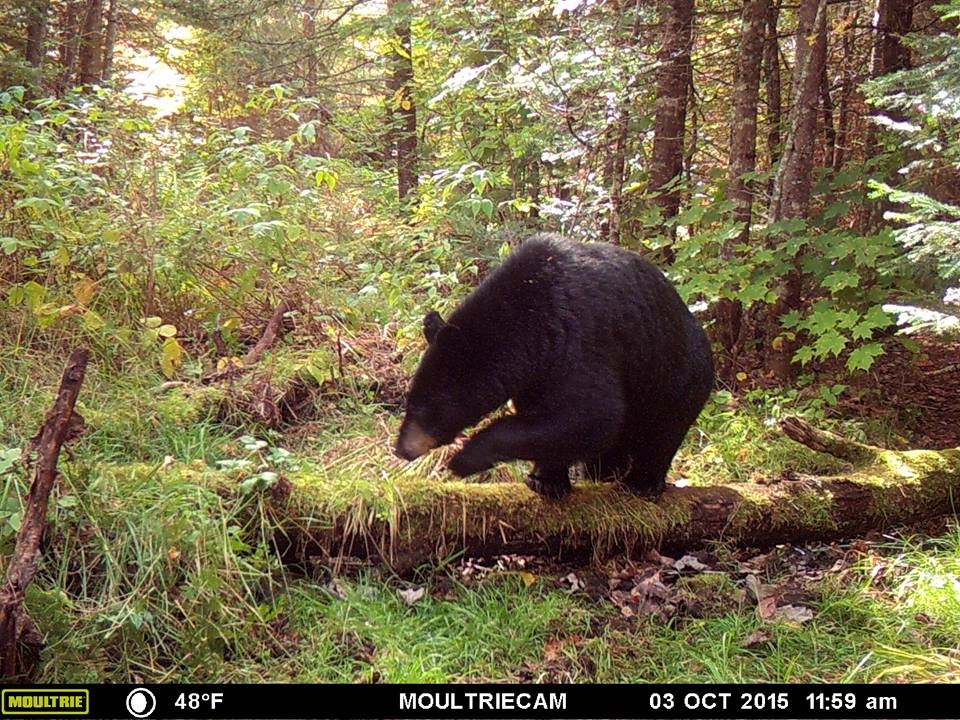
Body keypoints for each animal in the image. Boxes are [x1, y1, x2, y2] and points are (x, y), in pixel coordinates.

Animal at [390, 233, 712, 498]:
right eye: (409, 401)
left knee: (663, 432)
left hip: (677, 377)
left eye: (425, 409)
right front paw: (547, 479)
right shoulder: (535, 376)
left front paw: (466, 458)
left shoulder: (578, 340)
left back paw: (643, 483)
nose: (401, 449)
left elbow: (591, 414)